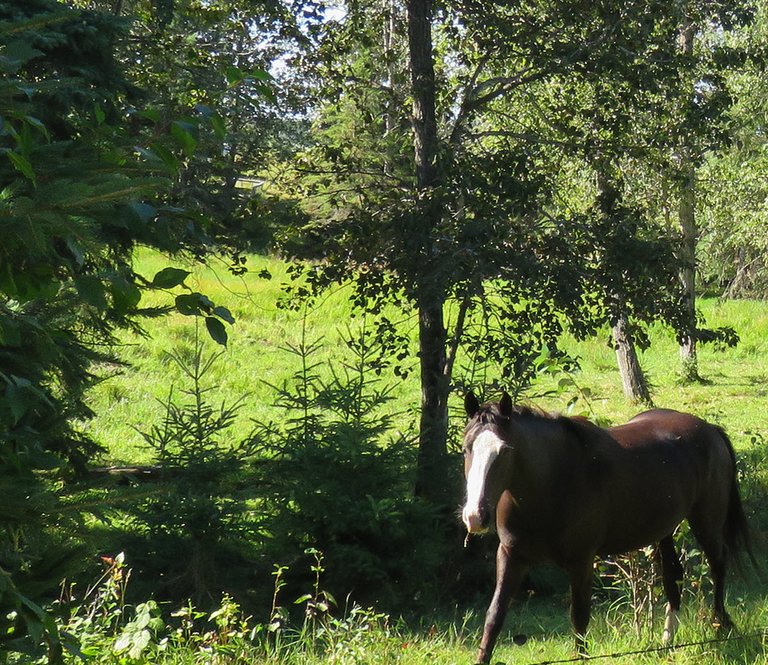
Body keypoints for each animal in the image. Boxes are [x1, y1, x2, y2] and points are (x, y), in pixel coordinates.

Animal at [460, 392, 752, 660]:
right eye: (466, 448)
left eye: (504, 451)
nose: (475, 516)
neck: (554, 482)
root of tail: (710, 430)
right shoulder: (511, 556)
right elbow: (494, 617)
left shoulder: (581, 562)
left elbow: (579, 619)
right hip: (665, 529)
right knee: (673, 575)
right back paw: (668, 641)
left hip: (706, 521)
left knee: (717, 565)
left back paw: (720, 626)